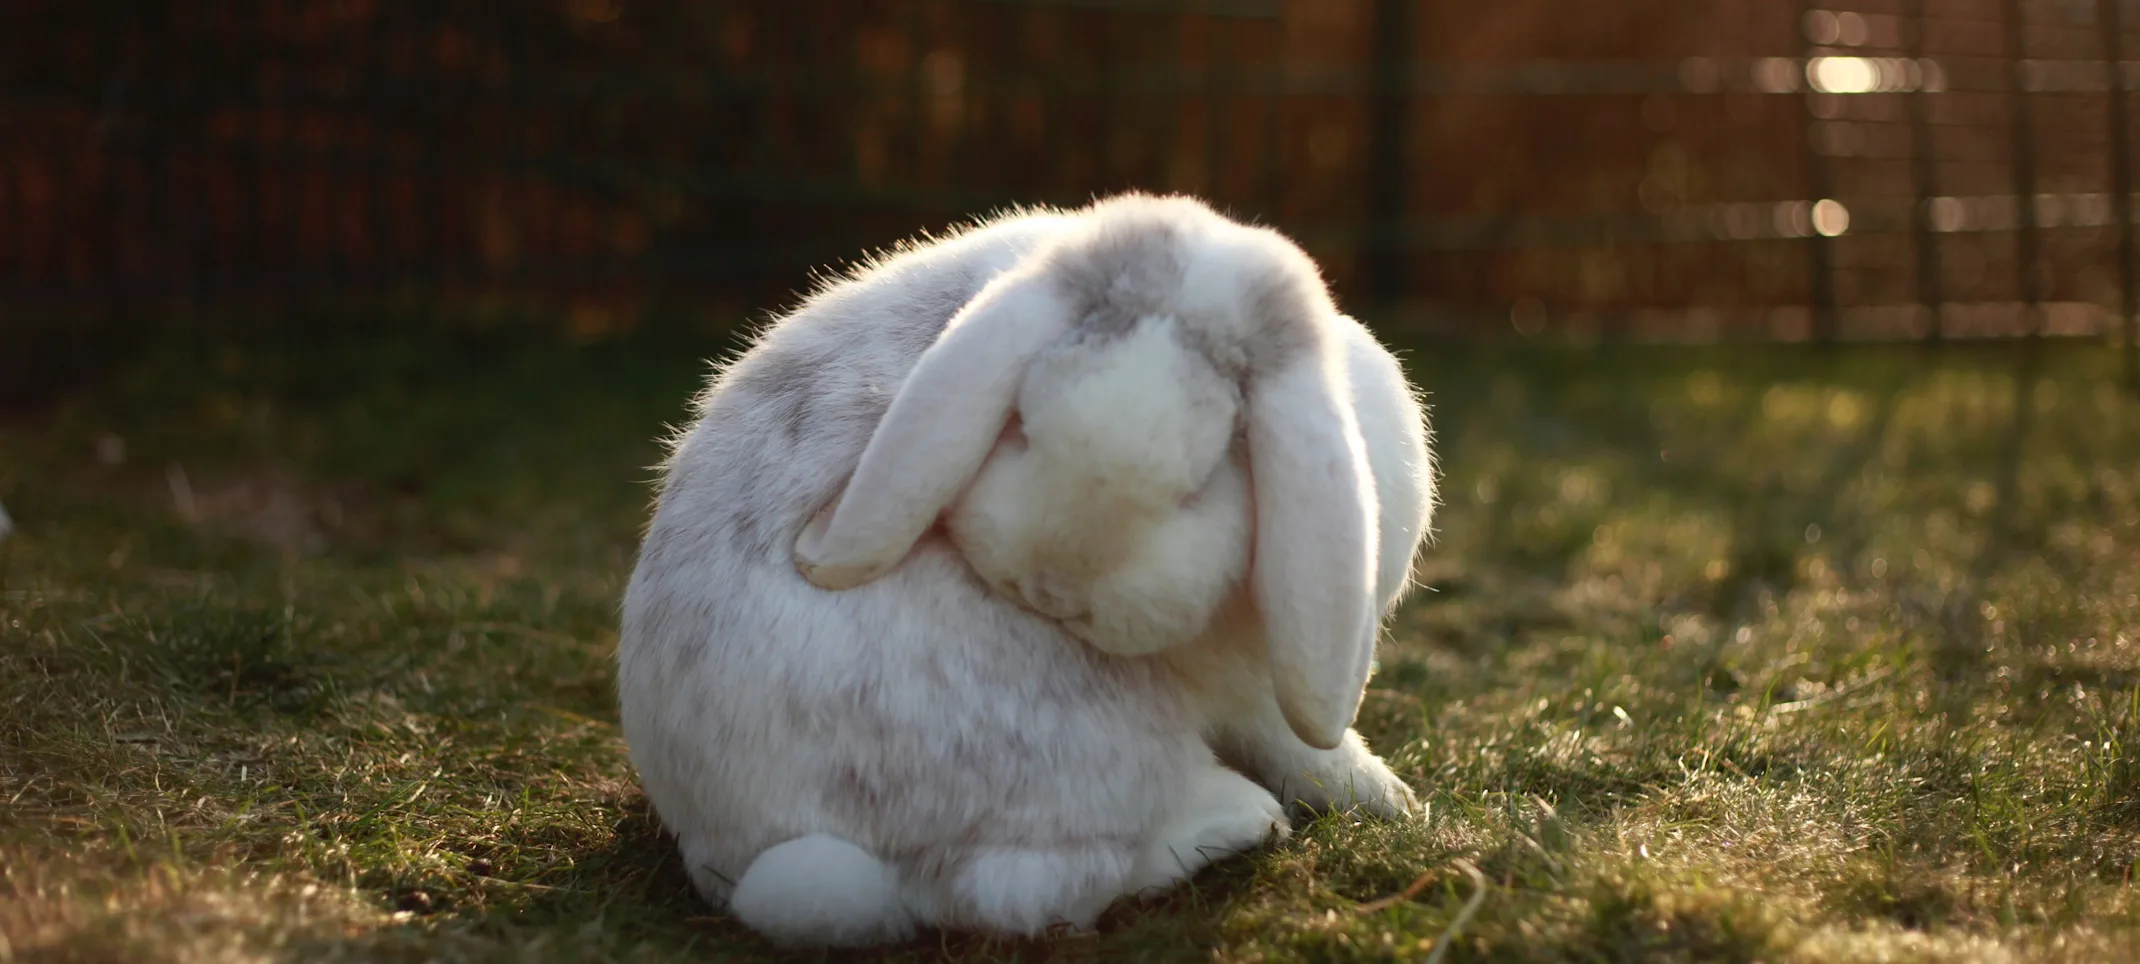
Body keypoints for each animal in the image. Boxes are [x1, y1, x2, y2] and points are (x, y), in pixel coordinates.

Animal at [620, 191, 1438, 946]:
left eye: (1203, 482)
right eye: (1020, 423)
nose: (1050, 589)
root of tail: (725, 845)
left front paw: (1392, 804)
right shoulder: (1251, 696)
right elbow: (1299, 747)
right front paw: (1389, 799)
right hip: (1084, 750)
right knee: (1024, 888)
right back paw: (1236, 821)